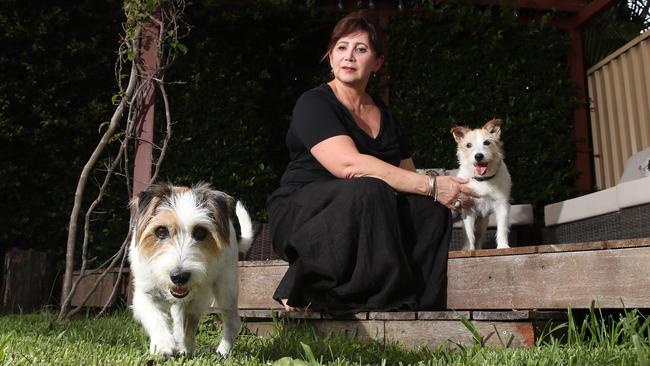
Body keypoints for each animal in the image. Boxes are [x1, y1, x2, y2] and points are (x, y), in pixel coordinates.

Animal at [128, 183, 252, 358]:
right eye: (161, 231)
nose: (180, 277)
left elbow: (190, 325)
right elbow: (155, 317)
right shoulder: (144, 293)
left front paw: (186, 347)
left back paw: (222, 351)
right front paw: (163, 344)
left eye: (200, 232)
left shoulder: (199, 298)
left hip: (226, 287)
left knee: (232, 320)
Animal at [448, 118, 508, 250]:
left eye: (487, 142)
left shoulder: (501, 204)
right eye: (468, 145)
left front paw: (503, 245)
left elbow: (502, 227)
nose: (478, 156)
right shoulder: (467, 207)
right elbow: (469, 232)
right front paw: (468, 249)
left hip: (483, 222)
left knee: (480, 237)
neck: (482, 180)